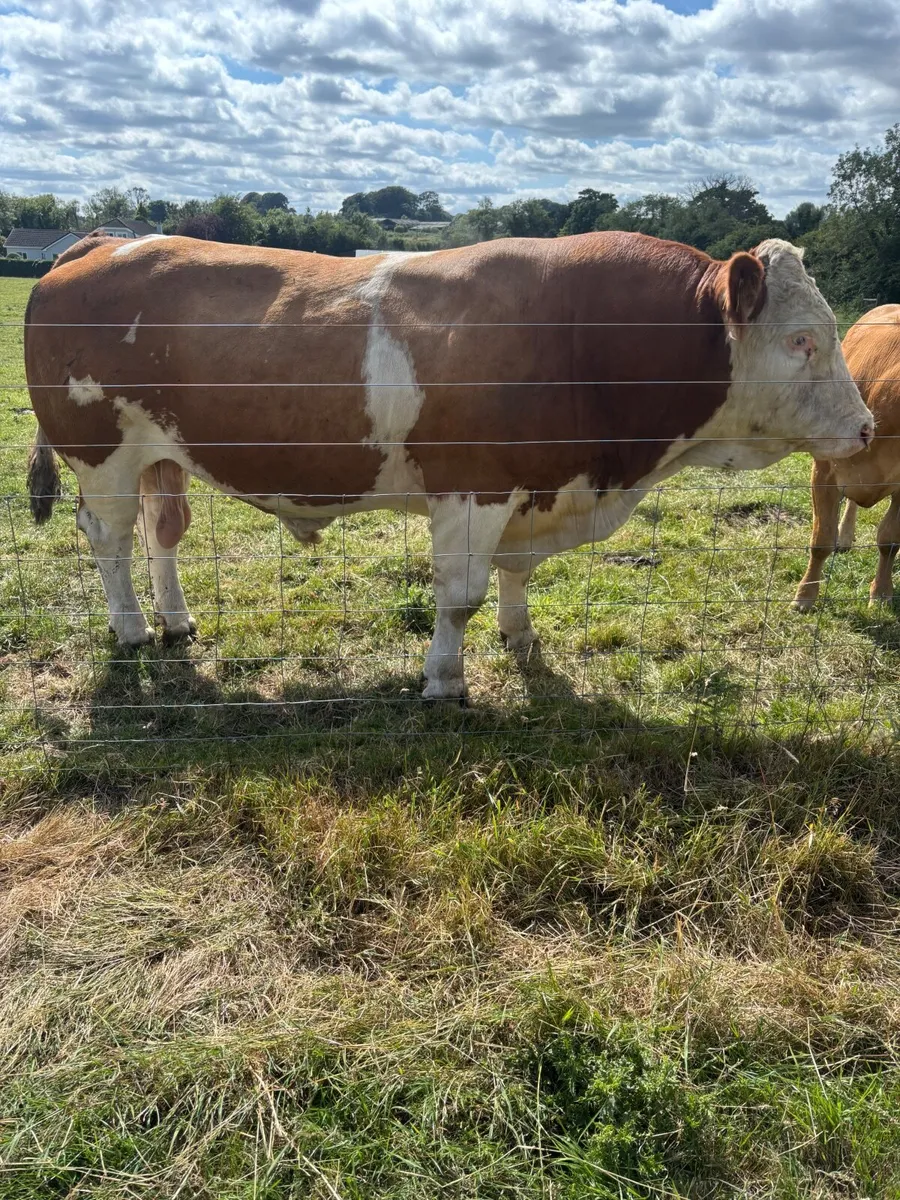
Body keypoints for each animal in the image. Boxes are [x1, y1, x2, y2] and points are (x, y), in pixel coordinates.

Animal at [25, 232, 872, 700]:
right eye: (801, 340)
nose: (866, 428)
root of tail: (99, 243)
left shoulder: (533, 486)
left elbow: (516, 574)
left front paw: (522, 639)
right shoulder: (473, 484)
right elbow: (460, 594)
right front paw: (444, 678)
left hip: (161, 455)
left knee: (163, 532)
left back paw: (175, 620)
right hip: (100, 453)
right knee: (110, 539)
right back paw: (132, 629)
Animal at [793, 305, 900, 610]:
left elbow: (889, 540)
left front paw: (881, 592)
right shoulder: (824, 472)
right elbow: (821, 540)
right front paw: (805, 596)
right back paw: (844, 537)